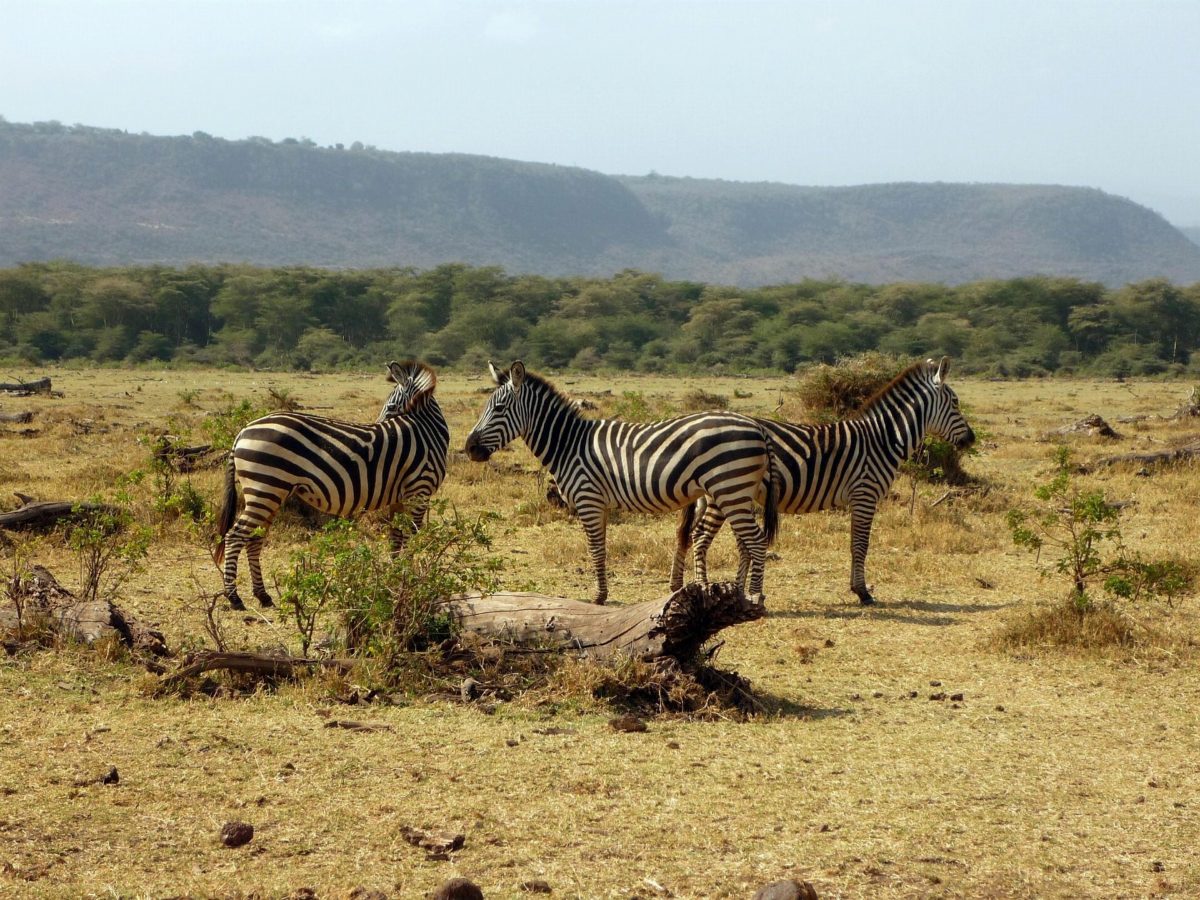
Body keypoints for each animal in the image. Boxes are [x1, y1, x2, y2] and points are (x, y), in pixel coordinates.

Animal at [213, 360, 449, 610]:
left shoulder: (400, 499)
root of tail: (242, 431)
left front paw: (396, 580)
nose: (377, 423)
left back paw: (263, 595)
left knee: (254, 539)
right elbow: (412, 538)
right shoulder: (420, 490)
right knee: (235, 536)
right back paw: (234, 597)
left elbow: (396, 539)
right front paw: (410, 580)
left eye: (391, 406)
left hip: (270, 493)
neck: (426, 431)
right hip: (265, 489)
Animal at [464, 360, 779, 604]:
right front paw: (602, 593)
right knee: (746, 541)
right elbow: (601, 548)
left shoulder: (588, 499)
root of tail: (757, 426)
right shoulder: (599, 504)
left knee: (757, 540)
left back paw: (755, 597)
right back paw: (740, 593)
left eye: (499, 408)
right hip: (736, 492)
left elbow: (595, 549)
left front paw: (598, 597)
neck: (569, 444)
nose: (469, 448)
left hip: (729, 489)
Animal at [671, 357, 975, 605]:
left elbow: (855, 542)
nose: (971, 439)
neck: (881, 440)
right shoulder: (865, 493)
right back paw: (703, 588)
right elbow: (860, 544)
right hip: (725, 492)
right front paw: (862, 592)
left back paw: (681, 587)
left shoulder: (859, 497)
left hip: (718, 495)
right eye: (956, 403)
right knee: (701, 536)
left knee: (689, 534)